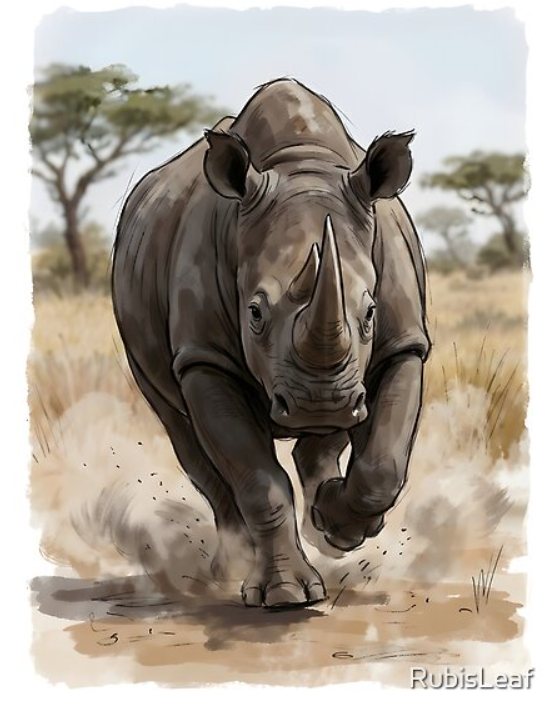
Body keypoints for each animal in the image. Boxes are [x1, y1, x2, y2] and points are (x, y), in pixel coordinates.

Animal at [112, 78, 430, 608]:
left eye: (370, 312)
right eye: (255, 314)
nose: (319, 403)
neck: (301, 162)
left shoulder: (403, 343)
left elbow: (384, 463)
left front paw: (339, 524)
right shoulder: (205, 358)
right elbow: (258, 479)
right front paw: (286, 595)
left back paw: (326, 524)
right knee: (186, 439)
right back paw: (229, 568)